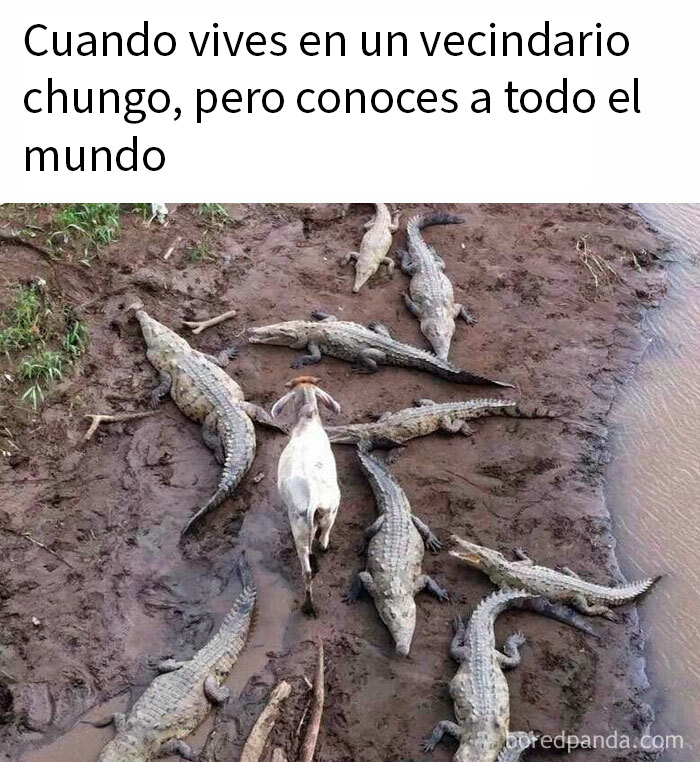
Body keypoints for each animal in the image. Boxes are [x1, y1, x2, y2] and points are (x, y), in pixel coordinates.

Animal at [272, 376, 341, 616]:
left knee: (308, 565)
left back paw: (308, 605)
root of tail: (313, 496)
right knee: (319, 545)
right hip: (330, 510)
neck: (307, 422)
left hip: (300, 525)